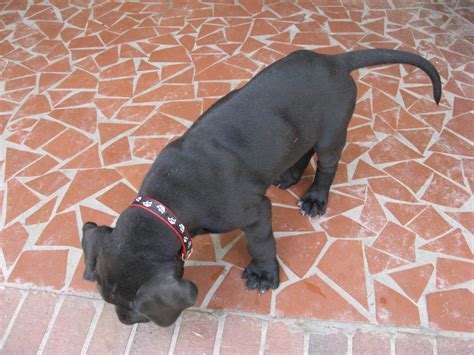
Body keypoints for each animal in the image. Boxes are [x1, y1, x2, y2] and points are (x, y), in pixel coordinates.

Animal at [81, 48, 440, 326]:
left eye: (137, 311)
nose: (124, 322)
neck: (169, 200)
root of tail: (335, 60)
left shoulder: (254, 212)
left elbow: (262, 244)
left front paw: (264, 274)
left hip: (332, 133)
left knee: (327, 166)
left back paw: (315, 199)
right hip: (302, 129)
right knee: (302, 150)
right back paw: (289, 175)